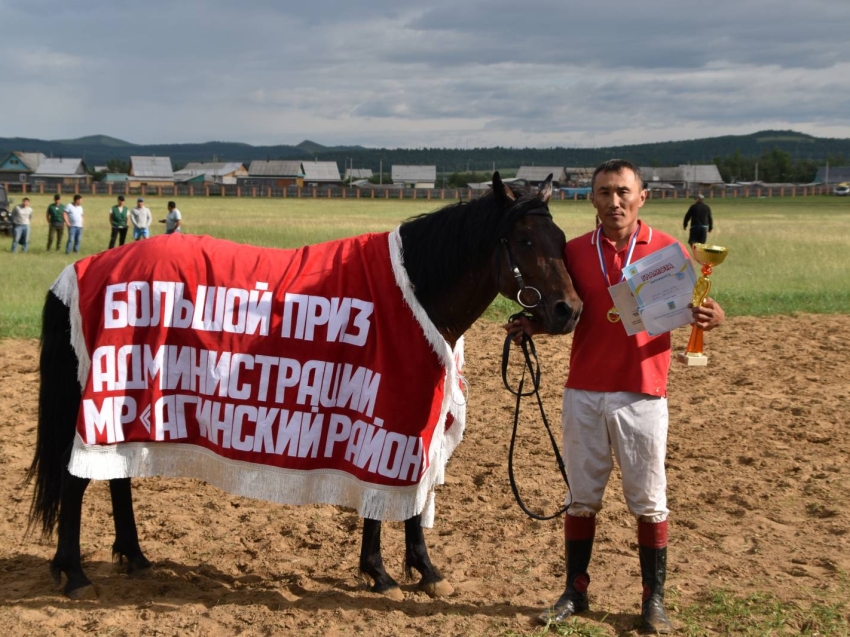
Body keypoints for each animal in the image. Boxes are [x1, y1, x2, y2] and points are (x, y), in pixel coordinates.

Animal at [28, 173, 584, 600]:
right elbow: (385, 495)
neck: (417, 290)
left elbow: (407, 494)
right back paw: (74, 573)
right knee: (76, 481)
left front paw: (419, 571)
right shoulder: (390, 409)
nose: (569, 311)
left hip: (127, 400)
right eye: (525, 241)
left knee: (115, 475)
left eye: (561, 240)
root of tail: (76, 271)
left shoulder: (409, 413)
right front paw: (387, 573)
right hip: (103, 395)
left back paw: (135, 555)